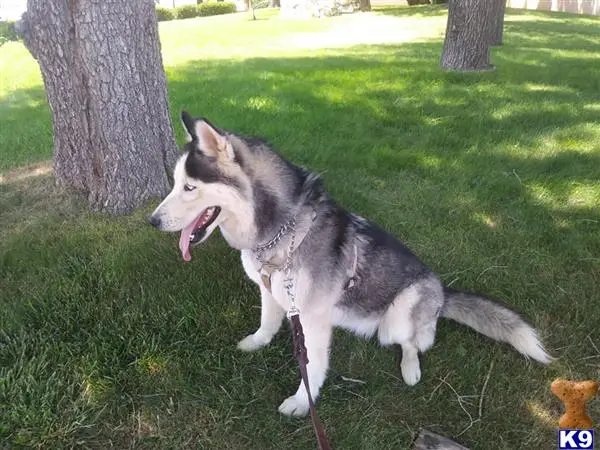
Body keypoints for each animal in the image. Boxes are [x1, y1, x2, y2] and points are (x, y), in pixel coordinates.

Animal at [149, 110, 552, 416]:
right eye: (176, 183)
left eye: (189, 187)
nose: (152, 221)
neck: (281, 230)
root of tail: (443, 293)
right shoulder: (271, 290)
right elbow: (268, 321)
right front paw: (256, 342)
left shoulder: (311, 317)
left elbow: (312, 366)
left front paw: (302, 402)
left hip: (402, 313)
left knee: (412, 344)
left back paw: (410, 368)